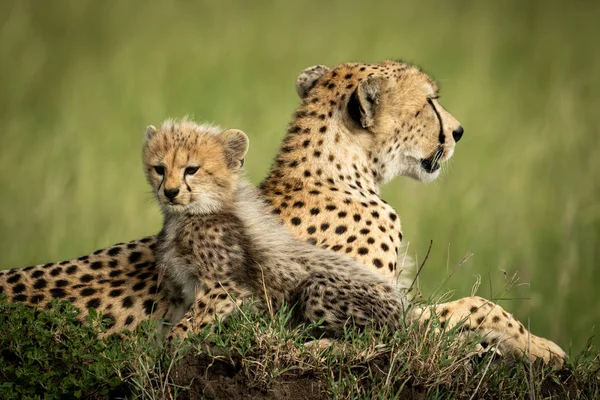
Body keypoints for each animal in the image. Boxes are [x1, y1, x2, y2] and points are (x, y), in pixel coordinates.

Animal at [0, 61, 564, 368]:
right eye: (430, 102)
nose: (460, 131)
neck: (339, 171)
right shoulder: (371, 310)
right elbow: (477, 305)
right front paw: (540, 346)